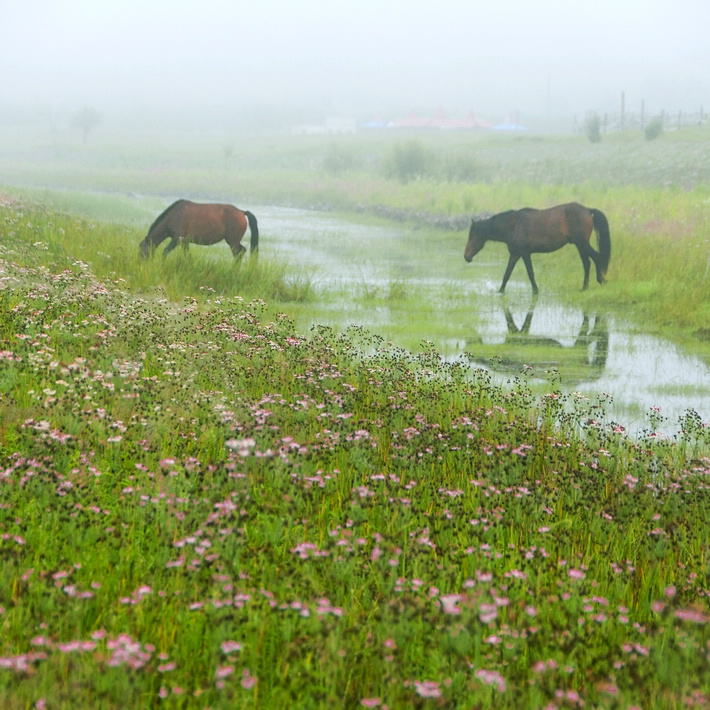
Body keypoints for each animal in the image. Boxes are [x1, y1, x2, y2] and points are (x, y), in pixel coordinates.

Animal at [468, 203, 612, 294]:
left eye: (472, 236)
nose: (466, 256)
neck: (514, 225)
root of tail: (587, 210)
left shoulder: (525, 253)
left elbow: (530, 273)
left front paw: (536, 291)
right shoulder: (515, 254)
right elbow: (507, 274)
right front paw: (500, 291)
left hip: (582, 243)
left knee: (596, 258)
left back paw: (600, 281)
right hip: (580, 245)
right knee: (587, 263)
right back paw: (586, 287)